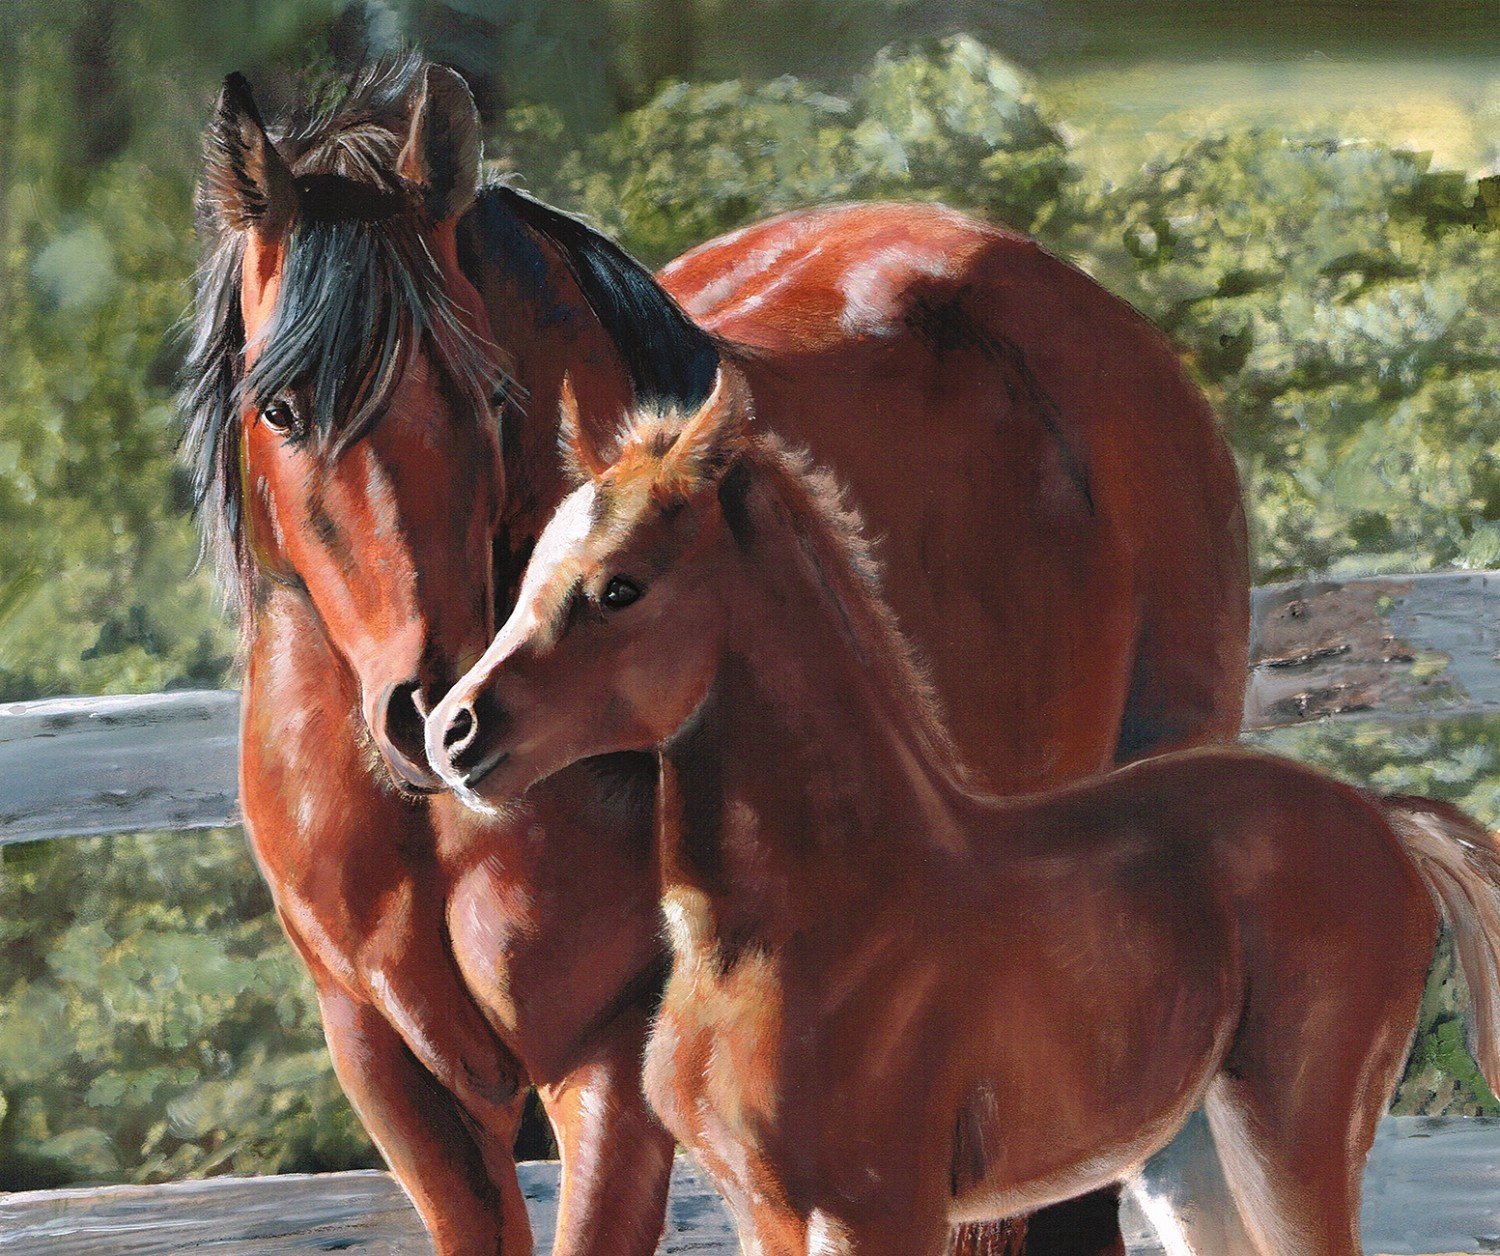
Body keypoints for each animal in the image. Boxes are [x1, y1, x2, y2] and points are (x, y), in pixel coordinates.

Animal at [426, 369, 1500, 1256]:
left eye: (620, 588)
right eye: (528, 577)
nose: (450, 733)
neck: (803, 929)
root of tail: (1381, 816)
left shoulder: (877, 1212)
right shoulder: (763, 1212)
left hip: (1288, 1131)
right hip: (1188, 1156)